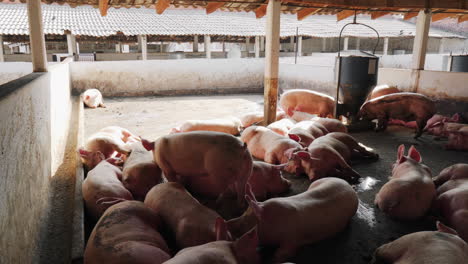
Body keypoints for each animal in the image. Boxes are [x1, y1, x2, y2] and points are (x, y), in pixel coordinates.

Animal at [227, 177, 358, 262]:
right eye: (243, 214)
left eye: (246, 222)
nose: (227, 223)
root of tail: (347, 184)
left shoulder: (293, 239)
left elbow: (284, 252)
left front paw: (275, 258)